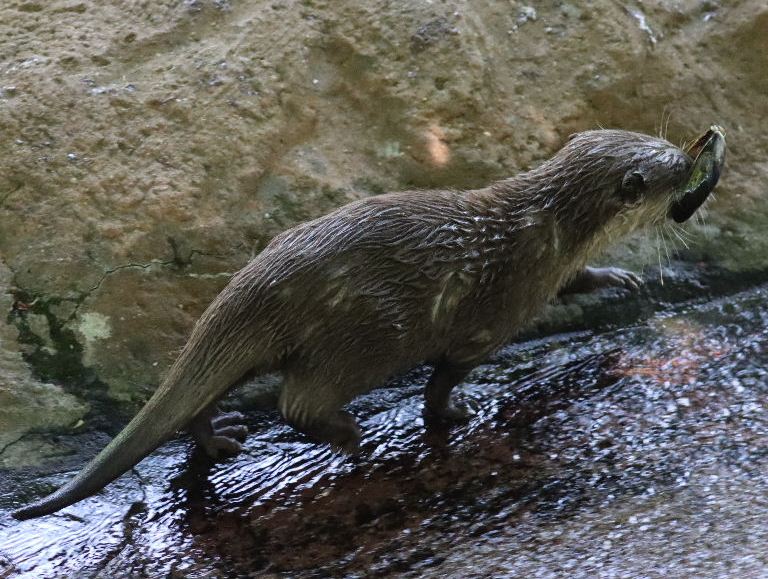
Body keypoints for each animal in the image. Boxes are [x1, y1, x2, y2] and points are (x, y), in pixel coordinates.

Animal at [13, 126, 725, 520]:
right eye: (674, 168)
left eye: (668, 146)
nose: (700, 153)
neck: (546, 230)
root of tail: (261, 281)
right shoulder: (497, 314)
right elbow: (446, 374)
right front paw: (449, 413)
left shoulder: (554, 271)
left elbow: (580, 280)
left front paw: (618, 278)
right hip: (359, 337)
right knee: (298, 402)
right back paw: (351, 438)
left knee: (200, 396)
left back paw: (221, 440)